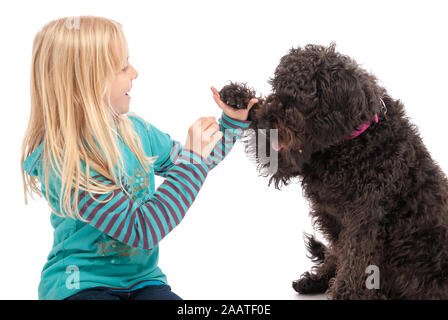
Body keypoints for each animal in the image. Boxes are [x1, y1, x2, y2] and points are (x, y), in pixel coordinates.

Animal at [220, 43, 448, 298]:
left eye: (298, 99)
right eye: (276, 88)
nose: (267, 120)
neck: (352, 141)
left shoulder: (363, 222)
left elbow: (354, 265)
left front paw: (343, 295)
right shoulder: (290, 158)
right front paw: (237, 98)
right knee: (333, 257)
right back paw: (315, 280)